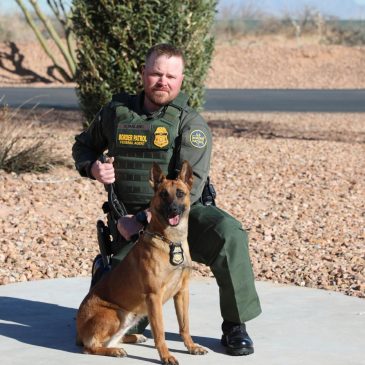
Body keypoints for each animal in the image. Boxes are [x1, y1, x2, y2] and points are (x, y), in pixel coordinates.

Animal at [76, 160, 208, 364]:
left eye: (180, 193)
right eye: (163, 194)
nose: (173, 210)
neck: (170, 241)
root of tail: (78, 330)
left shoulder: (182, 292)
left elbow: (184, 326)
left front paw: (191, 347)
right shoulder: (154, 296)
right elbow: (160, 332)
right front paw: (166, 356)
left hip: (131, 316)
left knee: (113, 339)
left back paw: (131, 339)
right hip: (116, 314)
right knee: (90, 347)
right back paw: (114, 351)